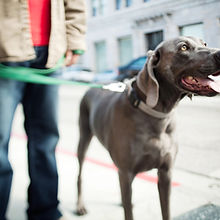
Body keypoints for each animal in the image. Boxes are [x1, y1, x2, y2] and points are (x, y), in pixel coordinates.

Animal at [75, 37, 220, 219]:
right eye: (183, 47)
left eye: (204, 43)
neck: (158, 117)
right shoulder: (127, 172)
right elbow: (129, 213)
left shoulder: (165, 173)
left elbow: (166, 211)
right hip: (84, 136)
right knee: (80, 174)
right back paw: (80, 206)